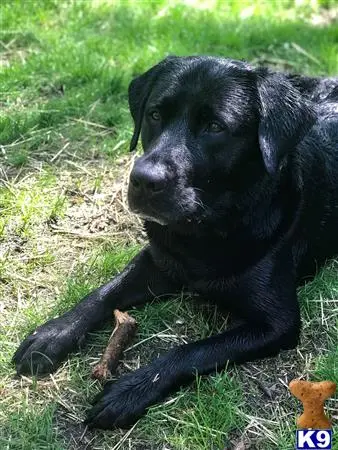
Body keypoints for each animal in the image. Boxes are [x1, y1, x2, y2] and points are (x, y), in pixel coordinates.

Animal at [13, 56, 338, 428]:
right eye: (155, 115)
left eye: (215, 126)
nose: (144, 180)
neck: (204, 229)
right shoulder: (156, 260)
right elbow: (103, 293)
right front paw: (53, 333)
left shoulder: (278, 324)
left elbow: (194, 350)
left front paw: (130, 390)